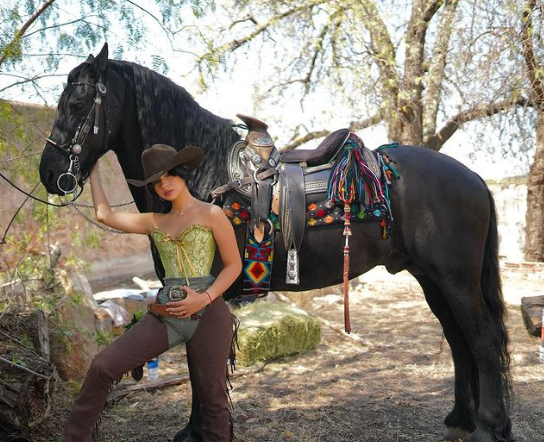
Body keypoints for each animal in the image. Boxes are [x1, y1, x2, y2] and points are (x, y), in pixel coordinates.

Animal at [39, 42, 516, 442]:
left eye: (77, 104)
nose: (49, 172)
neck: (203, 179)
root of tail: (474, 177)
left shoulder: (207, 294)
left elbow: (203, 365)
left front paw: (197, 431)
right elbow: (197, 365)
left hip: (456, 280)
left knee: (483, 341)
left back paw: (490, 426)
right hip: (432, 280)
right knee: (459, 341)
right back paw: (460, 418)